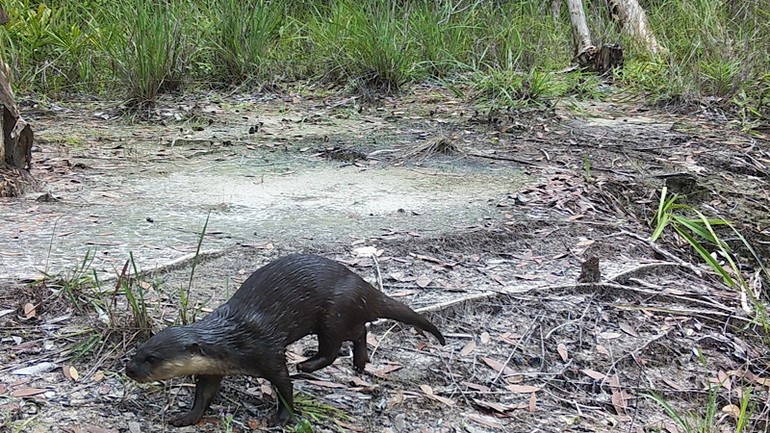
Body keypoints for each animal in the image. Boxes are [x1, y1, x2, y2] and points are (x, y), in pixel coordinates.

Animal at [125, 253, 445, 427]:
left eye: (152, 359)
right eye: (139, 351)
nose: (129, 370)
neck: (232, 343)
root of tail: (363, 284)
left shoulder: (267, 353)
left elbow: (284, 386)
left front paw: (281, 418)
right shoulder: (214, 368)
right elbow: (203, 394)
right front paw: (187, 417)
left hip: (334, 312)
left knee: (332, 348)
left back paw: (307, 365)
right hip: (343, 315)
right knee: (360, 331)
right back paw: (360, 363)